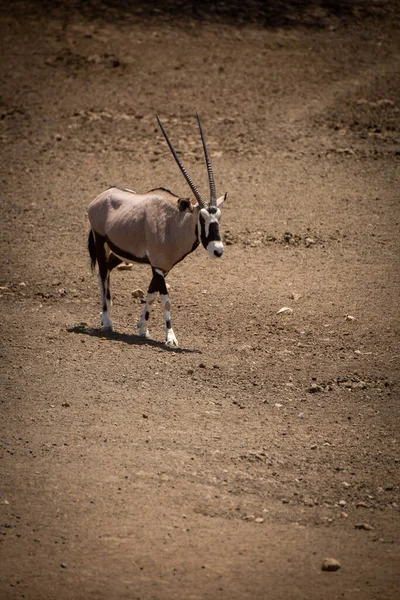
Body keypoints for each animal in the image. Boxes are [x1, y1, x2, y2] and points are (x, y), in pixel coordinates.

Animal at [87, 113, 227, 346]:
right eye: (202, 217)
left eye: (218, 217)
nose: (218, 250)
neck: (174, 223)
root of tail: (99, 199)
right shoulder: (159, 266)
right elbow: (166, 300)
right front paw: (171, 338)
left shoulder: (160, 267)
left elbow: (151, 295)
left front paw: (143, 328)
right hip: (100, 242)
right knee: (103, 274)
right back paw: (107, 321)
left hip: (118, 253)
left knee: (105, 271)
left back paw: (105, 316)